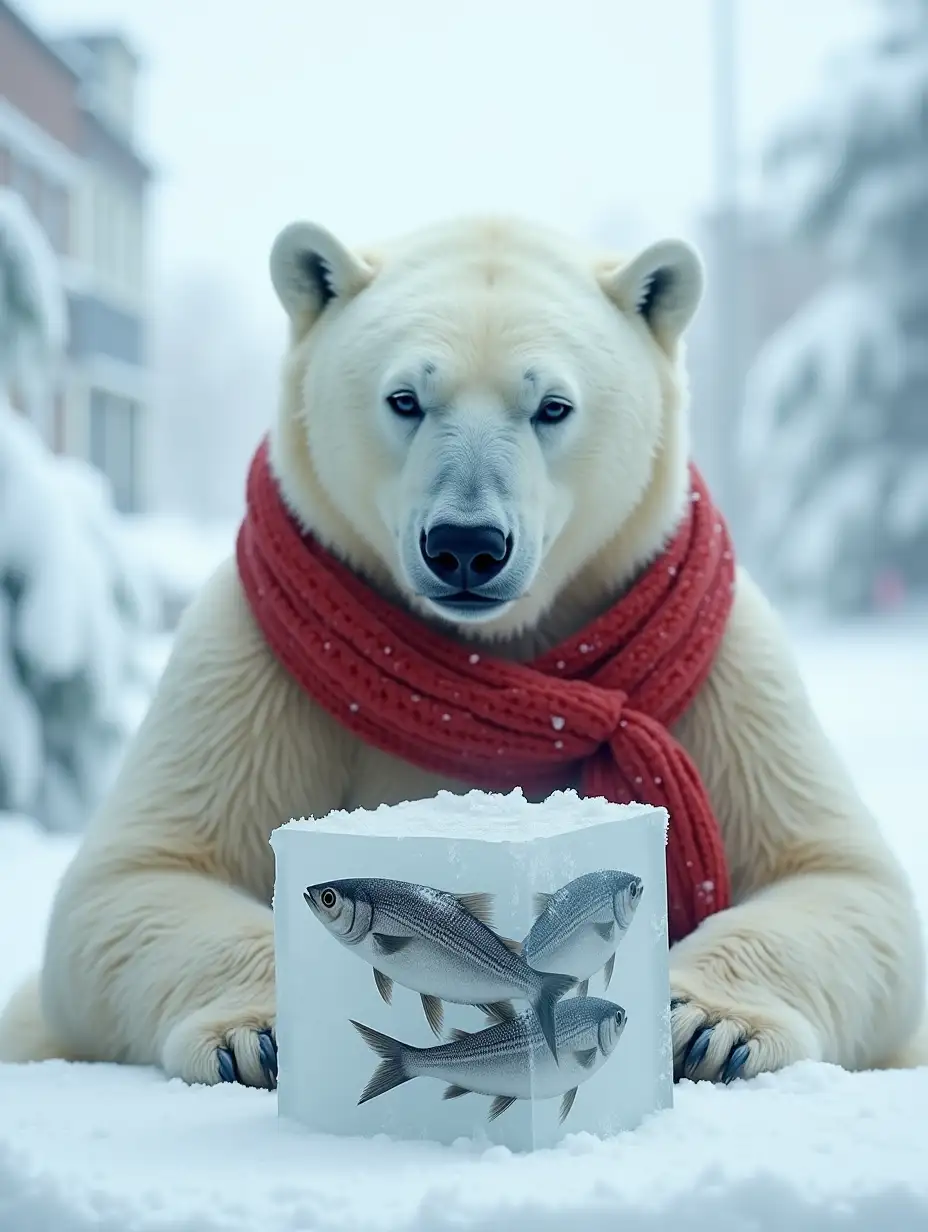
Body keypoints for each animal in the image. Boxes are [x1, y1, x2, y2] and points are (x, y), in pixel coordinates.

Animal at [1, 214, 926, 1089]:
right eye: (405, 397)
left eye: (552, 406)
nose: (467, 546)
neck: (493, 662)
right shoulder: (254, 661)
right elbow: (135, 878)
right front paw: (258, 1034)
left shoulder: (719, 665)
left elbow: (843, 877)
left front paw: (706, 1025)